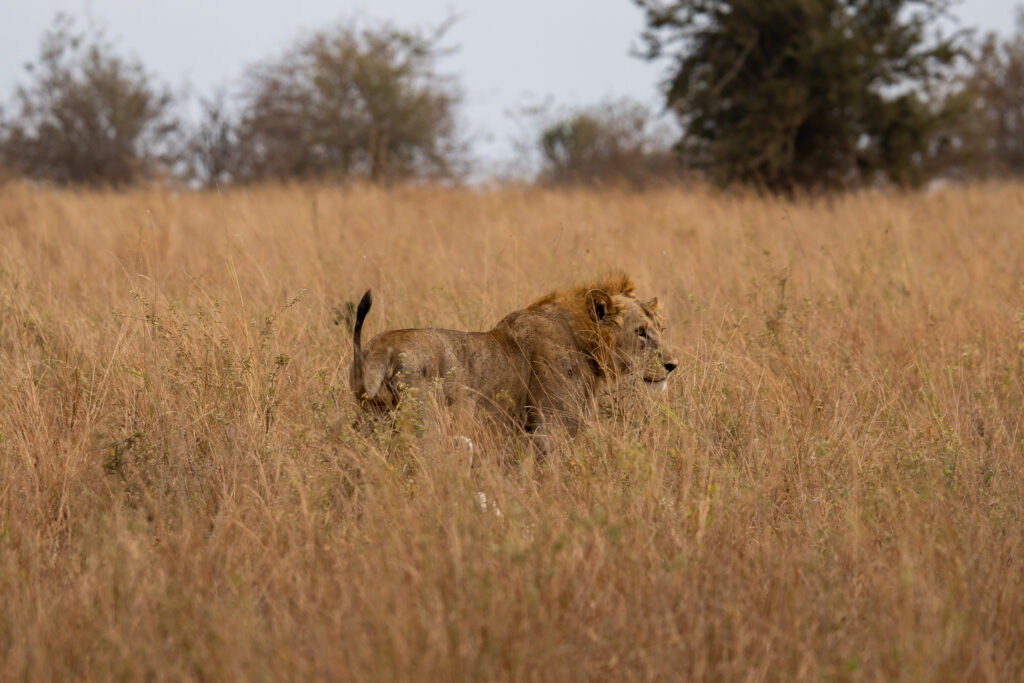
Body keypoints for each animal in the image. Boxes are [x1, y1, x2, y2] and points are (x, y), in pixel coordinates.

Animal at [349, 274, 678, 437]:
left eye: (661, 328)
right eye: (641, 332)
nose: (672, 365)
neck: (586, 341)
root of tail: (378, 348)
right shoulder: (551, 424)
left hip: (373, 419)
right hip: (426, 423)